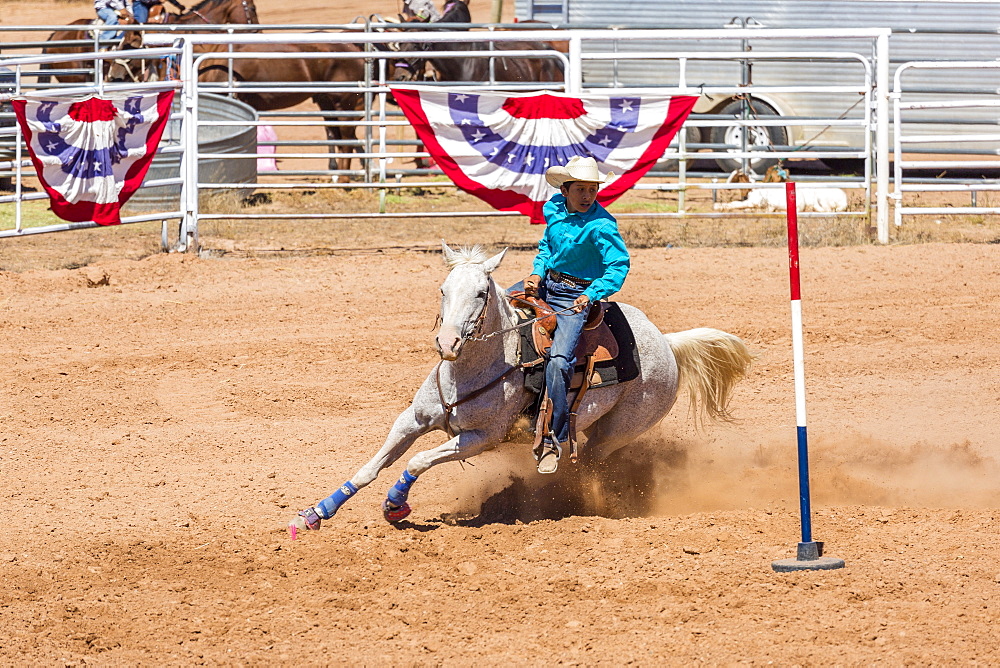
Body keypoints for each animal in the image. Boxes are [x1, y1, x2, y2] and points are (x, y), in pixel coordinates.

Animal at [290, 243, 752, 536]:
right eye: (443, 289)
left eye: (481, 293)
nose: (447, 343)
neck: (475, 368)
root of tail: (667, 343)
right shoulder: (412, 419)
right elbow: (370, 468)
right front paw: (314, 514)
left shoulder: (481, 438)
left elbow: (418, 460)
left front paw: (395, 505)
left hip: (617, 430)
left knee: (588, 467)